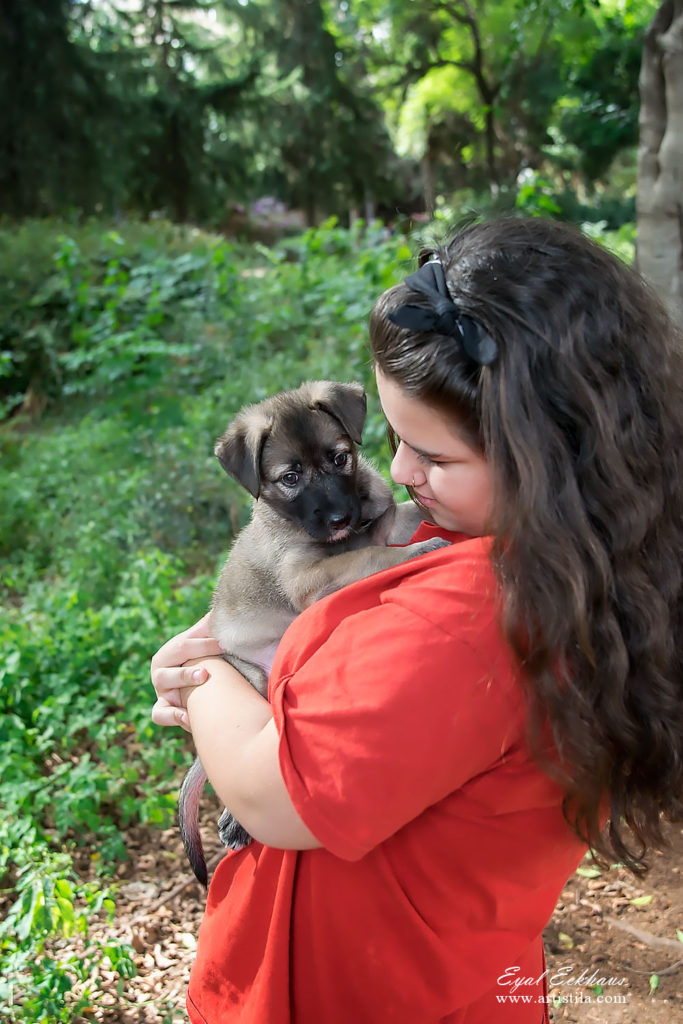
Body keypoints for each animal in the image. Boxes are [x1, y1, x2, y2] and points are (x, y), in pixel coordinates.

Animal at [178, 380, 444, 884]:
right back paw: (235, 823)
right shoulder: (306, 574)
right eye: (289, 478)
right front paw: (415, 550)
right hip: (253, 678)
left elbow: (394, 519)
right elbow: (367, 556)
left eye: (340, 458)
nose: (341, 518)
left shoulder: (380, 519)